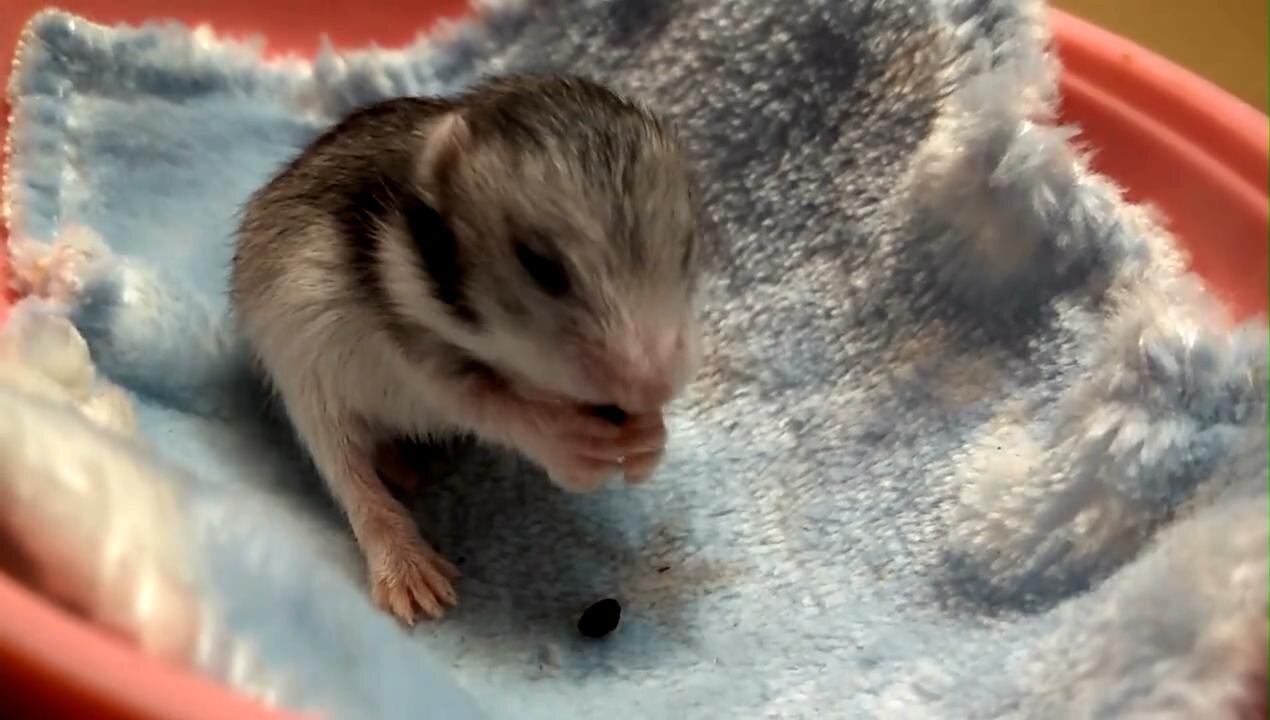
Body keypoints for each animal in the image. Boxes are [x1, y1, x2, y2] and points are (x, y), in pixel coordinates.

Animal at [229, 76, 706, 622]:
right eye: (539, 264)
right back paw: (410, 574)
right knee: (353, 477)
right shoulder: (419, 358)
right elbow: (491, 405)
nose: (654, 385)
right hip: (307, 385)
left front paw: (648, 438)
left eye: (688, 248)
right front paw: (576, 448)